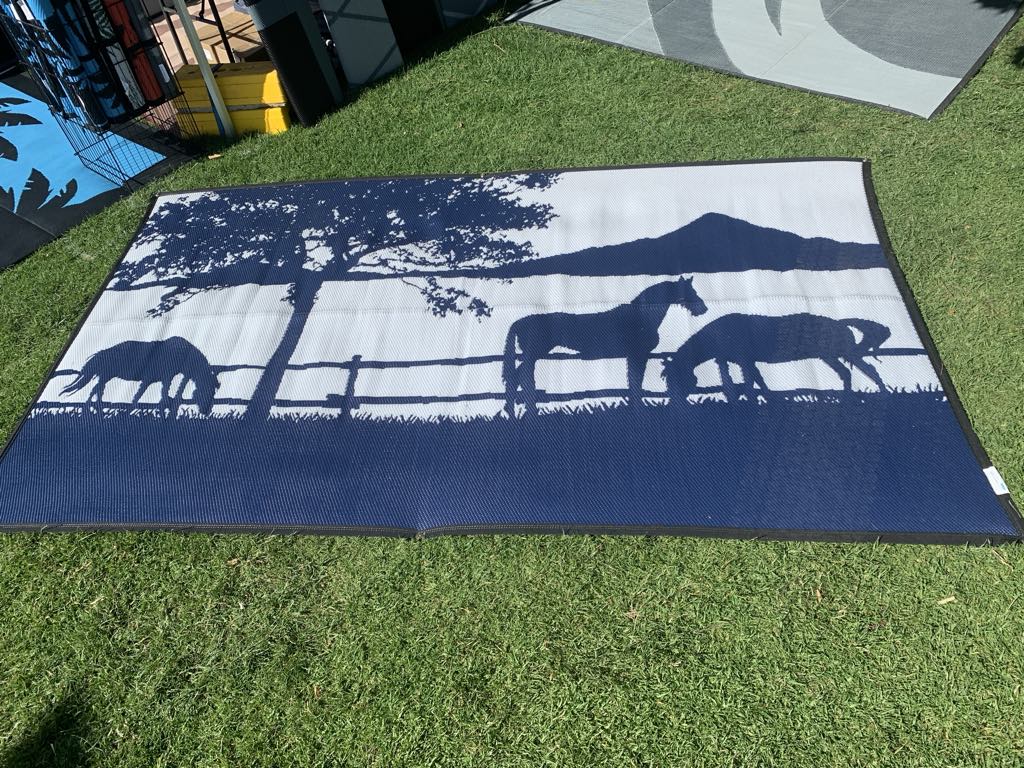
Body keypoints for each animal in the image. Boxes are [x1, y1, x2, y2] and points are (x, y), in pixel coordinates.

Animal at [60, 336, 220, 417]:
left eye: (213, 393)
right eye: (205, 390)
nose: (205, 412)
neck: (183, 356)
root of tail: (99, 354)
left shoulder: (163, 377)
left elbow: (162, 393)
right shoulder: (154, 377)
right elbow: (144, 394)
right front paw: (132, 410)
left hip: (105, 377)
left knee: (96, 391)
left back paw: (94, 410)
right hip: (105, 376)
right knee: (95, 391)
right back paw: (90, 410)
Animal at [502, 277, 708, 416]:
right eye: (690, 292)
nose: (703, 309)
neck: (640, 318)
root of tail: (519, 322)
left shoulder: (632, 356)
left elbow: (633, 381)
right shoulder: (638, 355)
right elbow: (636, 381)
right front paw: (639, 408)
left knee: (517, 377)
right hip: (534, 353)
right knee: (523, 376)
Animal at [662, 313, 891, 402]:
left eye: (676, 377)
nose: (675, 401)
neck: (719, 334)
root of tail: (841, 323)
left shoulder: (744, 359)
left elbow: (750, 382)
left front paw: (756, 401)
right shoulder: (732, 360)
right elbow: (748, 381)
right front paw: (764, 399)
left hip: (839, 354)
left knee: (865, 371)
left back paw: (878, 393)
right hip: (832, 356)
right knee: (852, 372)